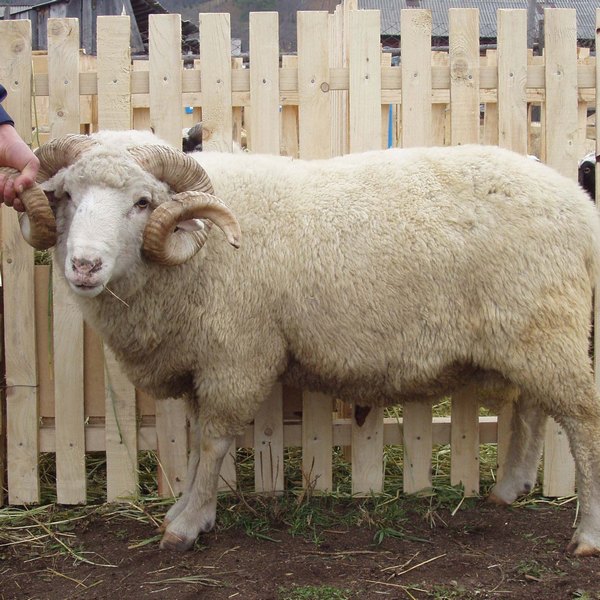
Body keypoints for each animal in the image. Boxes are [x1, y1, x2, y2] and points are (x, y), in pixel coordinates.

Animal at [11, 129, 600, 556]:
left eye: (141, 201)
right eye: (65, 195)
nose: (84, 265)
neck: (198, 244)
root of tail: (578, 206)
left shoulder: (237, 355)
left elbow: (213, 442)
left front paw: (187, 525)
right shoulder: (206, 359)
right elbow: (200, 442)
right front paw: (188, 510)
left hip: (546, 327)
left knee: (583, 420)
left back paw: (586, 536)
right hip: (528, 334)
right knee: (532, 409)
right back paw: (508, 490)